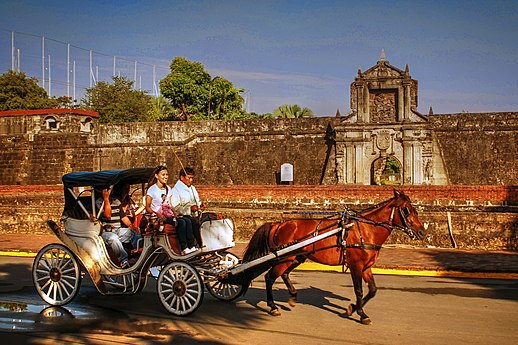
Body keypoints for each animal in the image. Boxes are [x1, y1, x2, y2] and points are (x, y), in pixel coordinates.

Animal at [242, 189, 424, 324]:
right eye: (407, 210)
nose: (422, 232)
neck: (366, 230)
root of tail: (277, 224)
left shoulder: (366, 267)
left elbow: (372, 290)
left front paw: (353, 309)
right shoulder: (356, 265)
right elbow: (359, 290)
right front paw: (360, 313)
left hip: (297, 256)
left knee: (284, 274)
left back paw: (292, 296)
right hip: (284, 258)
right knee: (269, 277)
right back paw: (273, 307)